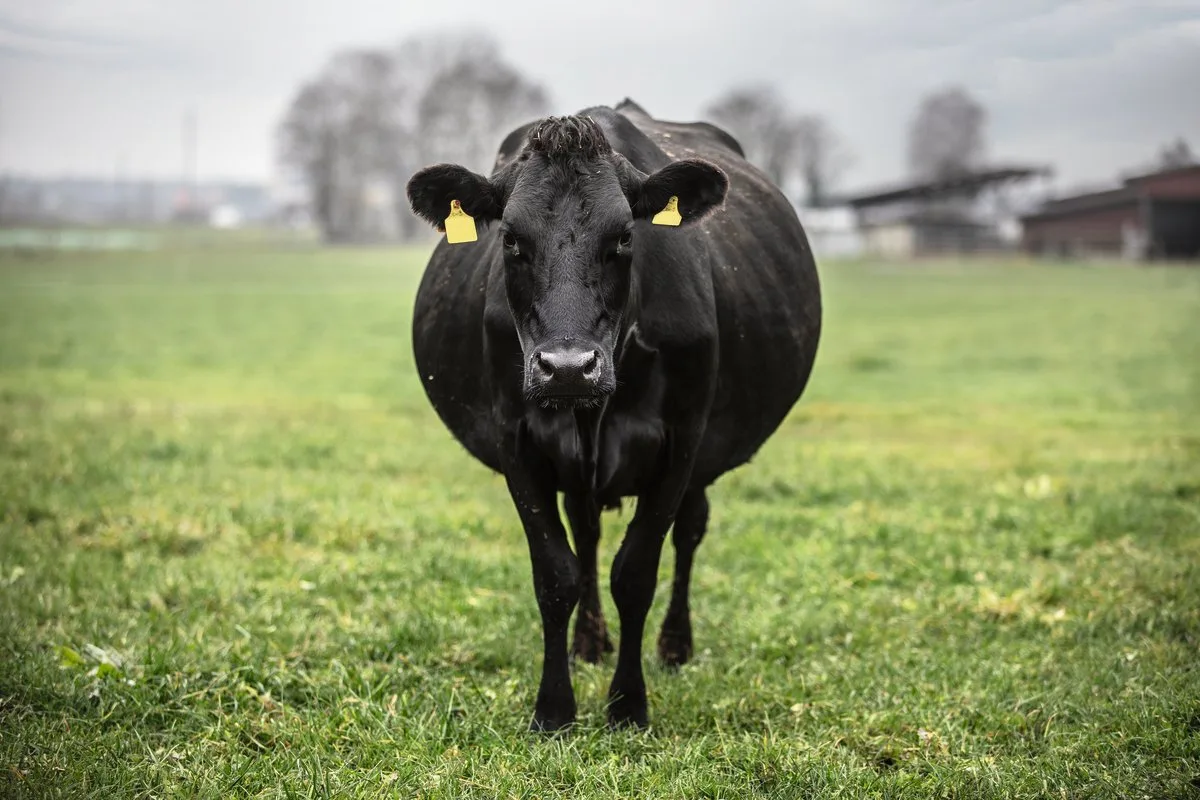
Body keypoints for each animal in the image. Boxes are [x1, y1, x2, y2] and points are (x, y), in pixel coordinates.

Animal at [405, 99, 821, 731]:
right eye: (511, 239)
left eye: (625, 236)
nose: (567, 367)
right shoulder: (516, 441)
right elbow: (557, 575)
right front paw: (554, 708)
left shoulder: (681, 442)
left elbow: (637, 572)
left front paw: (628, 704)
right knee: (587, 533)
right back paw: (589, 642)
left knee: (689, 532)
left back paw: (675, 645)